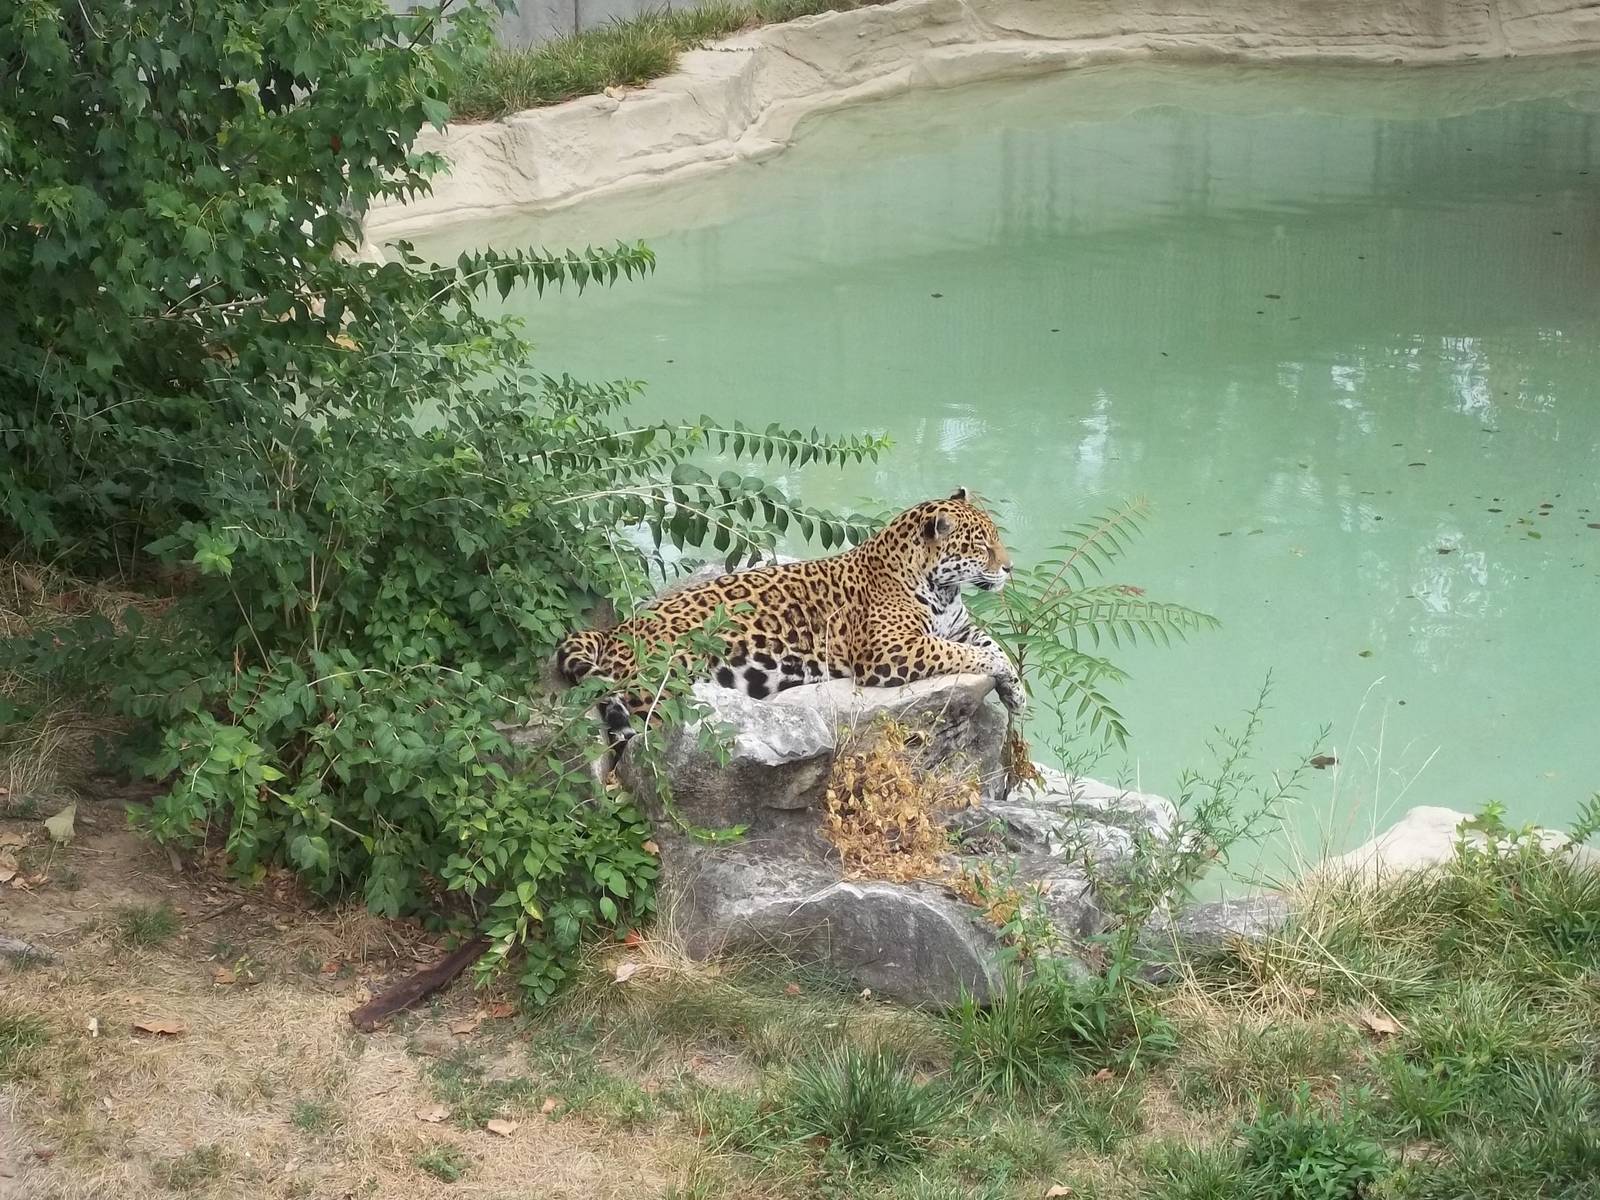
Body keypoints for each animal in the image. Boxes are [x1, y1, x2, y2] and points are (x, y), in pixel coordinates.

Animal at [555, 488, 1026, 740]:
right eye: (982, 546)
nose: (1009, 568)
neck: (943, 589)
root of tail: (616, 629)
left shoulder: (958, 627)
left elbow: (991, 646)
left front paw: (1016, 694)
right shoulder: (890, 651)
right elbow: (971, 654)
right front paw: (1002, 675)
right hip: (666, 673)